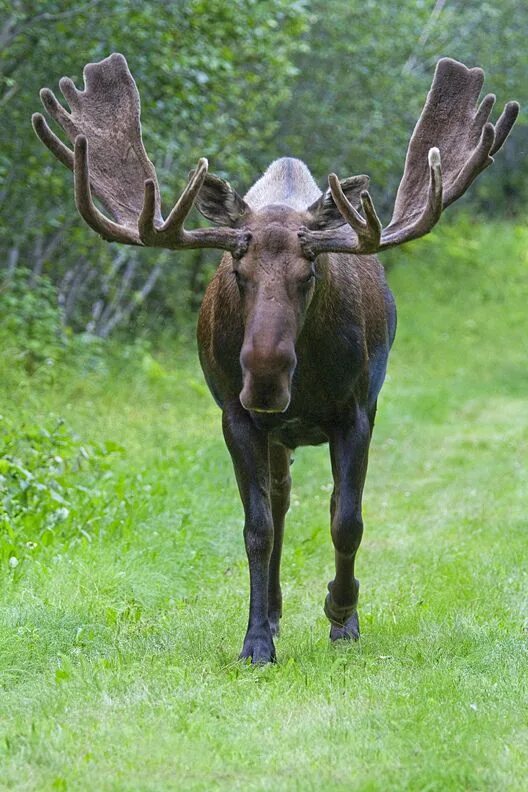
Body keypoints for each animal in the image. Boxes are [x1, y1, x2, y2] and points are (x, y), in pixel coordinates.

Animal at [32, 54, 516, 664]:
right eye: (237, 269)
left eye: (310, 272)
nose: (263, 377)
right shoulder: (235, 417)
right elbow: (256, 528)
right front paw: (256, 639)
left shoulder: (357, 412)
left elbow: (347, 519)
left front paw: (342, 614)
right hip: (273, 432)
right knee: (281, 502)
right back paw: (278, 610)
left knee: (316, 504)